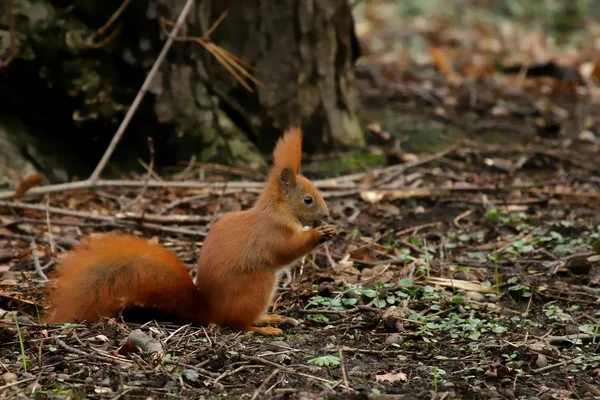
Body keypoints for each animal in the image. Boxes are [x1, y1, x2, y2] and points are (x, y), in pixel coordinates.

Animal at [44, 127, 338, 334]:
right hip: (258, 285)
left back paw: (272, 317)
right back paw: (263, 328)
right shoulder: (273, 232)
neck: (278, 209)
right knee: (236, 323)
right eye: (308, 200)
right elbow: (287, 249)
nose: (326, 214)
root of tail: (210, 310)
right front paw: (320, 233)